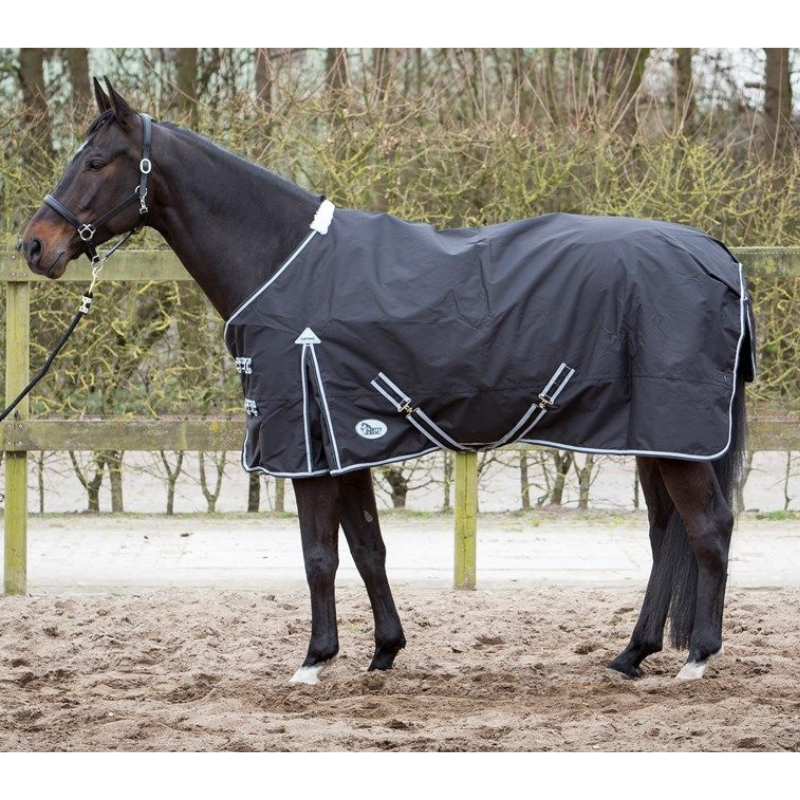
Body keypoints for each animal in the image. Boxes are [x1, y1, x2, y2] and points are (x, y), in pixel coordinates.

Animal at [21, 78, 752, 685]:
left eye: (95, 161)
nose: (34, 245)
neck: (283, 262)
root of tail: (718, 254)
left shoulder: (309, 447)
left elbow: (319, 555)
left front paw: (314, 661)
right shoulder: (345, 441)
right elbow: (367, 547)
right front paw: (383, 652)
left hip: (677, 437)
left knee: (709, 527)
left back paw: (698, 658)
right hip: (655, 438)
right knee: (664, 536)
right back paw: (632, 655)